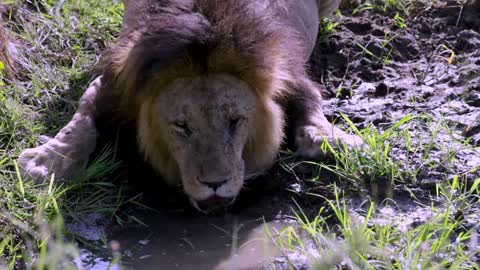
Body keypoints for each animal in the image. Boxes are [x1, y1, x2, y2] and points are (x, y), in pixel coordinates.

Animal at [19, 0, 360, 213]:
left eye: (235, 121)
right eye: (181, 126)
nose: (214, 184)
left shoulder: (290, 74)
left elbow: (311, 105)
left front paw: (333, 139)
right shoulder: (118, 83)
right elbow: (84, 116)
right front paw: (47, 160)